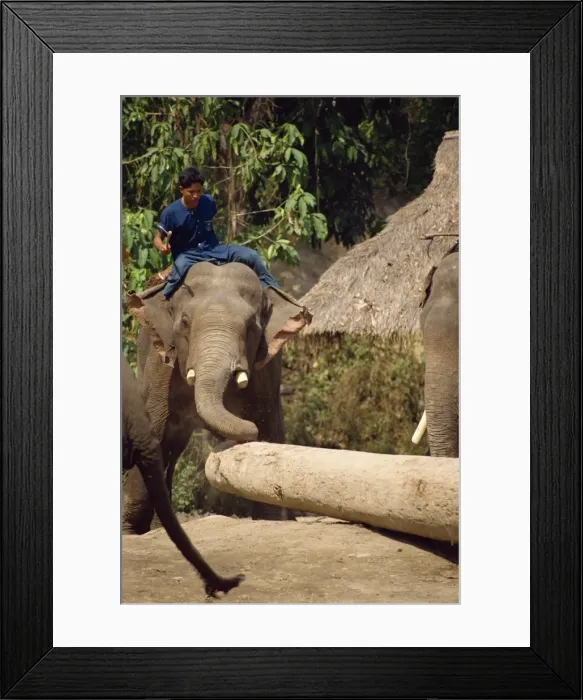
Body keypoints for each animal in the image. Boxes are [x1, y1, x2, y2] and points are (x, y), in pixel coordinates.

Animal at [123, 261, 312, 533]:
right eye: (185, 322)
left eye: (251, 326)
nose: (247, 428)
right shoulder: (161, 367)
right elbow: (153, 432)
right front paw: (129, 532)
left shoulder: (267, 371)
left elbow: (270, 429)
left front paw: (271, 520)